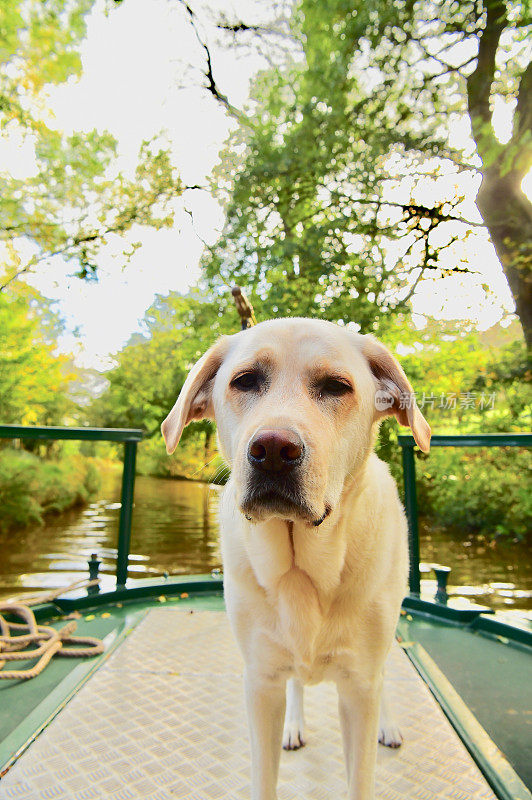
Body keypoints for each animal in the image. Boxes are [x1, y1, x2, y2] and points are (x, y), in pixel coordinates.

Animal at [160, 318, 430, 800]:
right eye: (245, 381)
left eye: (336, 386)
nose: (272, 449)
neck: (302, 568)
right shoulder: (261, 682)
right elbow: (264, 777)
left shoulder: (359, 688)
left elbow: (360, 775)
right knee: (299, 683)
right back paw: (294, 724)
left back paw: (389, 725)